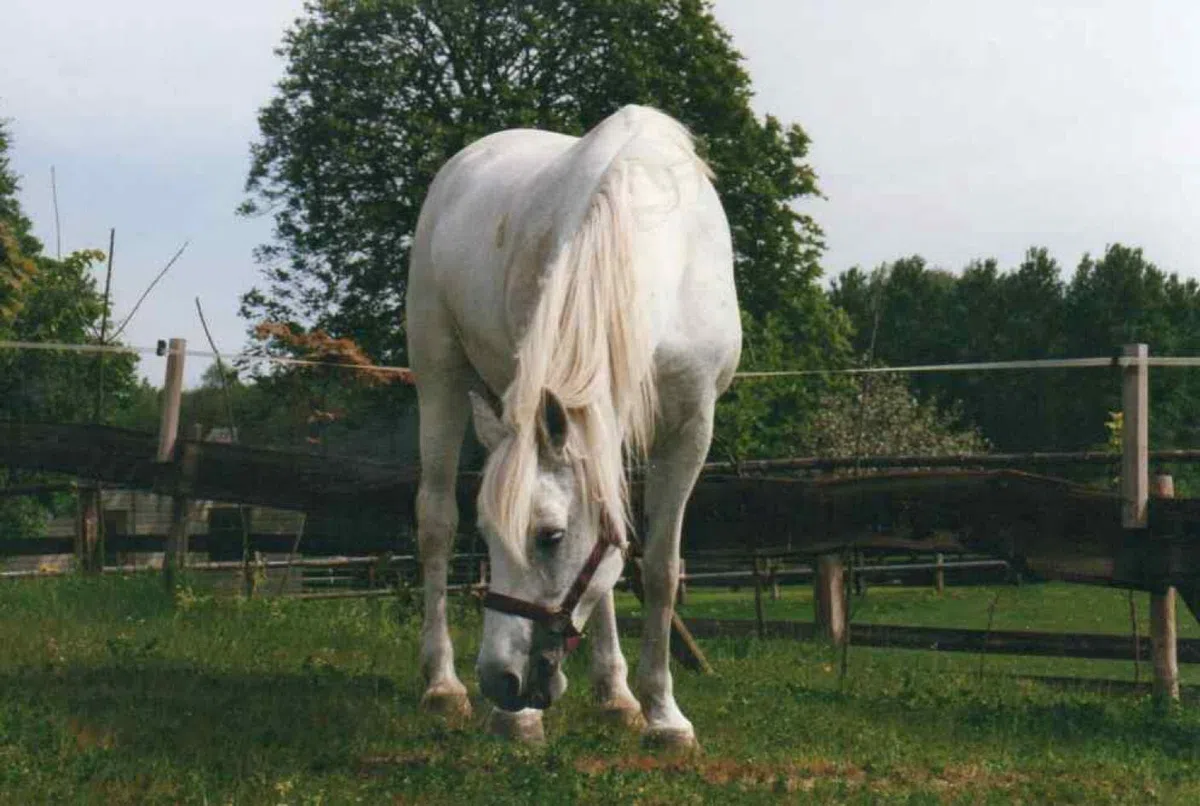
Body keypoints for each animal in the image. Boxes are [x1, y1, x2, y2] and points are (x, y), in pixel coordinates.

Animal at [406, 104, 741, 749]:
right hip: (438, 375)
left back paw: (615, 695)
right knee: (435, 520)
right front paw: (519, 721)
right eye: (488, 536)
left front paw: (661, 714)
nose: (501, 681)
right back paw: (440, 685)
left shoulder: (690, 429)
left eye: (550, 536)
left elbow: (657, 567)